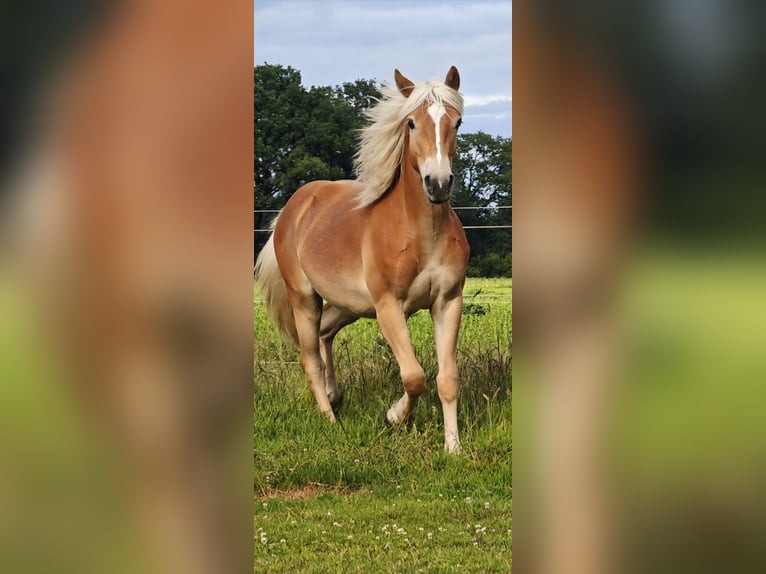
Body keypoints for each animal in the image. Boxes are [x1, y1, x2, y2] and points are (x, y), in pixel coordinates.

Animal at [258, 66, 472, 454]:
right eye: (411, 123)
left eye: (457, 122)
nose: (438, 184)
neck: (421, 234)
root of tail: (292, 208)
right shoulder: (389, 306)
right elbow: (414, 376)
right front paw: (394, 416)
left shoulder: (448, 302)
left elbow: (447, 379)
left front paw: (454, 448)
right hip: (305, 299)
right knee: (309, 358)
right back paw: (330, 419)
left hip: (349, 305)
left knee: (325, 334)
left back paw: (335, 395)